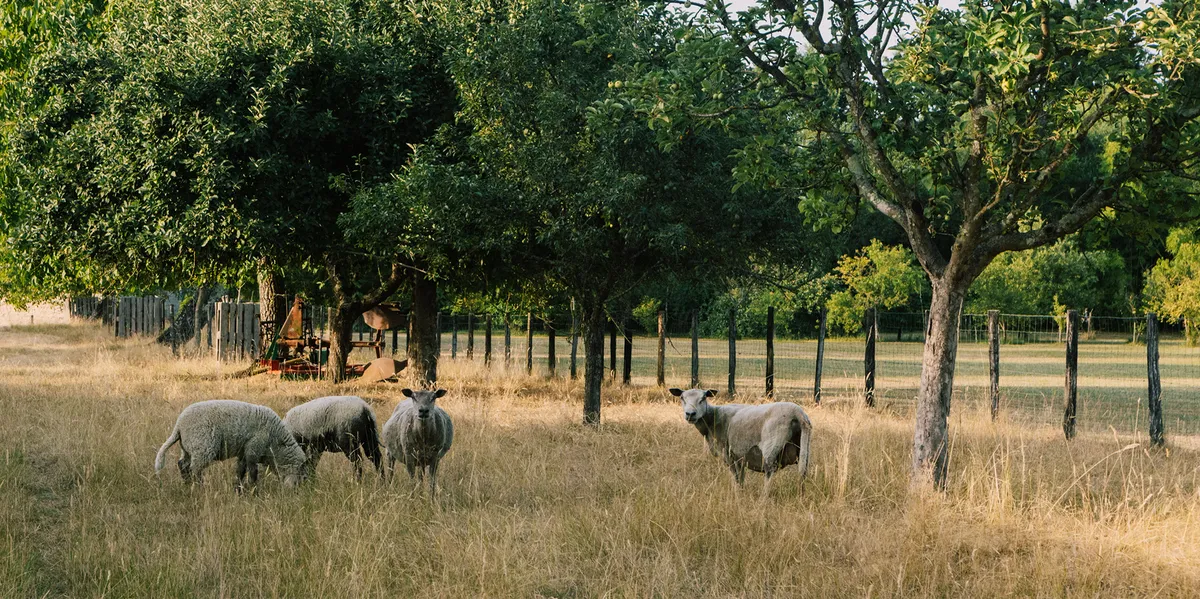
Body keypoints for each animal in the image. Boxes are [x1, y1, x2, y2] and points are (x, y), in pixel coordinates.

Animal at [154, 399, 307, 491]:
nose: (298, 491)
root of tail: (179, 425)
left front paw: (238, 489)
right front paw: (254, 490)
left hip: (188, 448)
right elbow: (253, 472)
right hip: (202, 446)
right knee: (195, 468)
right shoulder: (253, 449)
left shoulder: (244, 452)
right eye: (300, 473)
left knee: (182, 464)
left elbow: (240, 471)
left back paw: (186, 484)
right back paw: (200, 488)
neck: (276, 445)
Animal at [671, 388, 811, 493]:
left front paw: (736, 493)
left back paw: (763, 498)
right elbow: (741, 476)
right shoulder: (740, 456)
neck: (713, 418)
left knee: (769, 470)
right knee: (802, 471)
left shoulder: (727, 453)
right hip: (803, 447)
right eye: (682, 398)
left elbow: (735, 476)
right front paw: (741, 492)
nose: (690, 414)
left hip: (772, 445)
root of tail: (798, 413)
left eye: (703, 398)